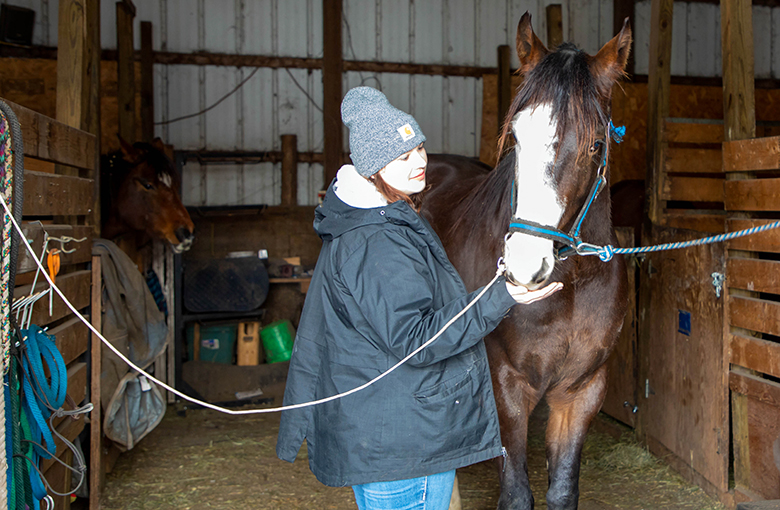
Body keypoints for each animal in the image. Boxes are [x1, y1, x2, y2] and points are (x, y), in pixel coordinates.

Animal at [424, 12, 632, 510]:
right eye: (516, 138)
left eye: (596, 145)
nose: (523, 266)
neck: (572, 285)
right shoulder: (507, 387)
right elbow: (517, 493)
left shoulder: (581, 392)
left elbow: (562, 491)